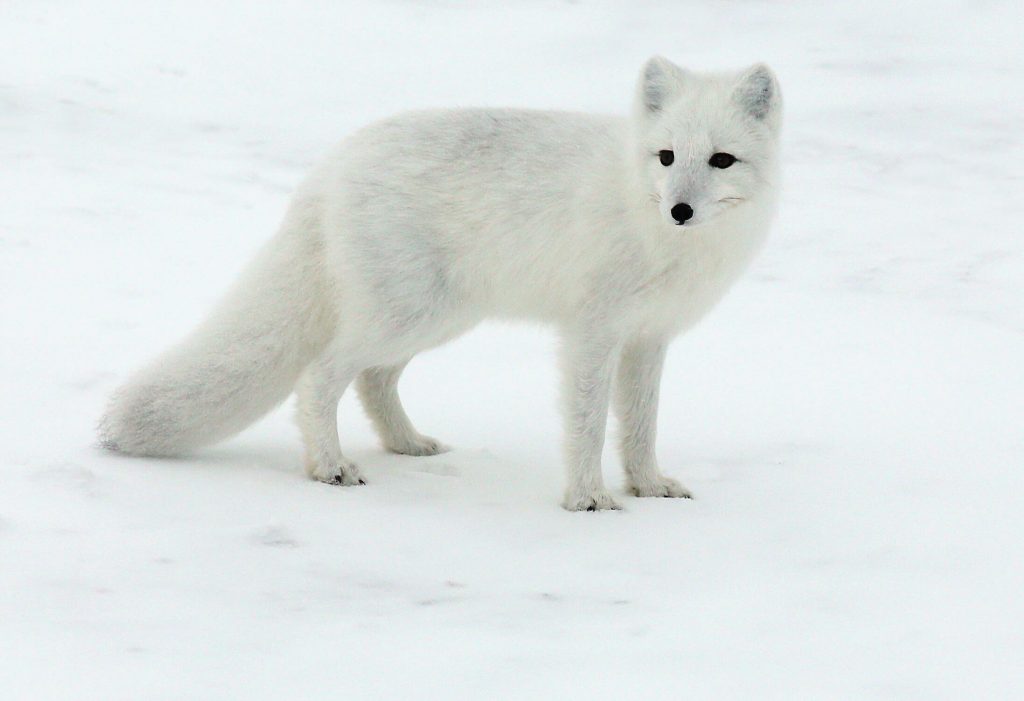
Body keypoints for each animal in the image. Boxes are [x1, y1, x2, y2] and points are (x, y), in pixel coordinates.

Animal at [99, 57, 778, 507]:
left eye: (721, 160)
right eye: (666, 157)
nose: (679, 210)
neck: (654, 226)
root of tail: (330, 167)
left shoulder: (647, 338)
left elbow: (640, 425)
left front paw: (648, 486)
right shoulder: (592, 333)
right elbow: (587, 424)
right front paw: (589, 500)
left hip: (436, 318)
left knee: (373, 381)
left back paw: (407, 445)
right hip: (407, 315)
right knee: (320, 377)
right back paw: (331, 467)